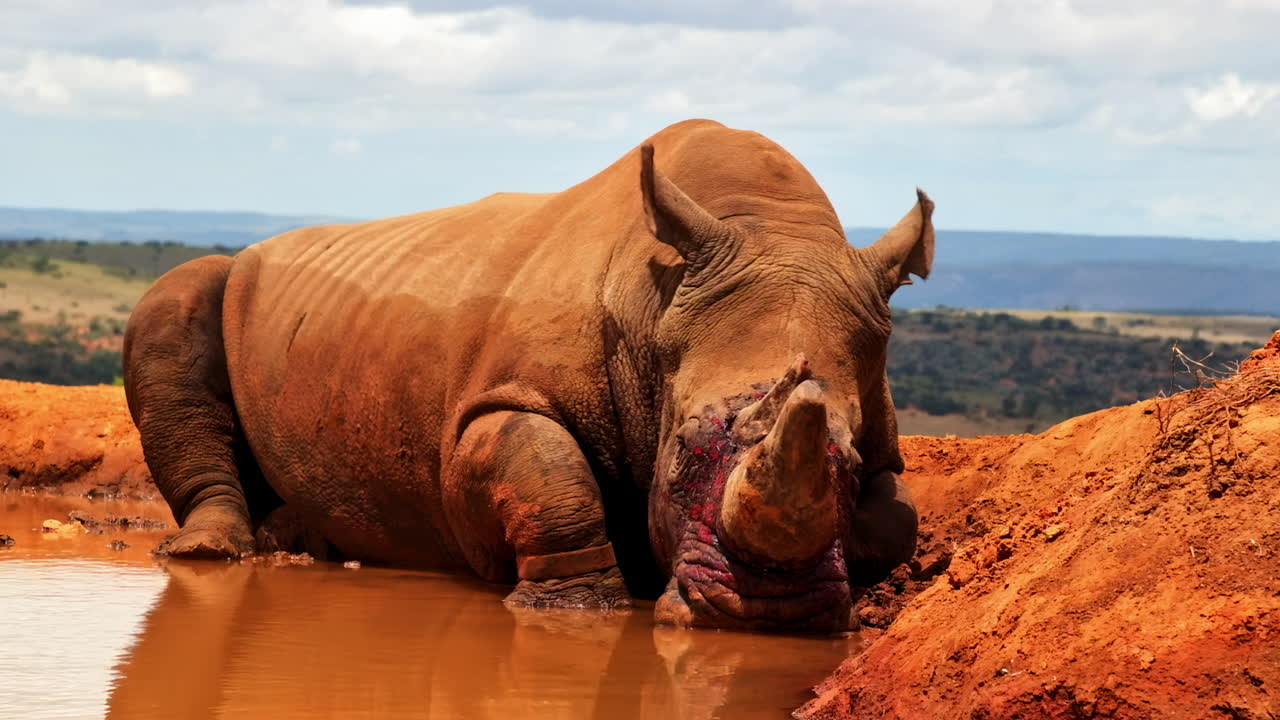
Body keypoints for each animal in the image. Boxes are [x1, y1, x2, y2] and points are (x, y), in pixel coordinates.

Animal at [123, 119, 934, 631]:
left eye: (848, 461)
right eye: (680, 452)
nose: (771, 615)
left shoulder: (883, 433)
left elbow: (897, 518)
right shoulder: (494, 403)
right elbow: (548, 476)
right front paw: (578, 611)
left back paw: (306, 544)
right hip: (220, 285)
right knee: (179, 295)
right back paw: (212, 553)